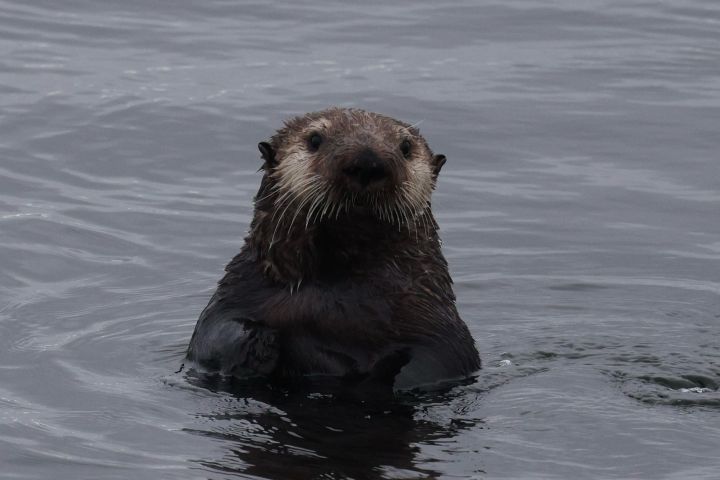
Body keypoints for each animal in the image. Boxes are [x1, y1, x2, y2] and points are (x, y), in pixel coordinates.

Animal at [186, 107, 480, 390]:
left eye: (406, 147)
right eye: (315, 139)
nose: (367, 163)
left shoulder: (438, 324)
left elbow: (442, 358)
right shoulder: (236, 292)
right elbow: (212, 337)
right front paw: (260, 342)